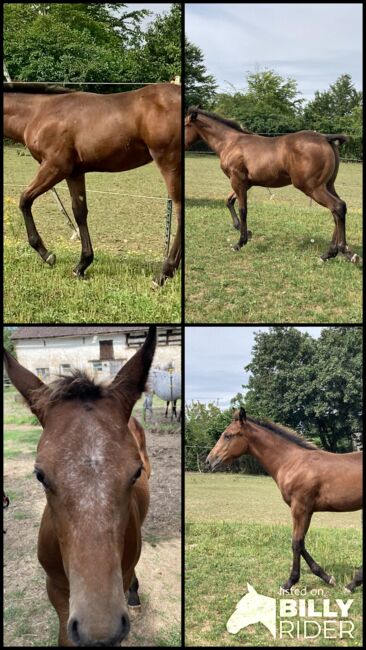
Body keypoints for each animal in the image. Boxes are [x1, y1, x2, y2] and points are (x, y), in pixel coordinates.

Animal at [2, 81, 180, 284]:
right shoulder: (74, 173)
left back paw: (164, 273)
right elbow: (79, 212)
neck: (39, 112)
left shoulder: (55, 167)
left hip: (169, 162)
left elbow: (25, 200)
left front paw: (47, 254)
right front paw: (82, 265)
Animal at [184, 109, 358, 264]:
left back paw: (340, 252)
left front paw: (240, 242)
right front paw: (246, 231)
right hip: (328, 185)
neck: (231, 143)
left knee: (337, 206)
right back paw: (335, 253)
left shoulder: (237, 181)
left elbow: (243, 209)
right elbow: (229, 201)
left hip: (312, 188)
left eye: (185, 125)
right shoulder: (245, 183)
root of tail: (325, 138)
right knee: (338, 210)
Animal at [206, 410, 364, 592]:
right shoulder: (307, 511)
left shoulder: (299, 508)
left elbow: (296, 543)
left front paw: (289, 583)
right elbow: (301, 543)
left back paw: (352, 584)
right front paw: (327, 577)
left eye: (228, 435)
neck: (292, 462)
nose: (209, 461)